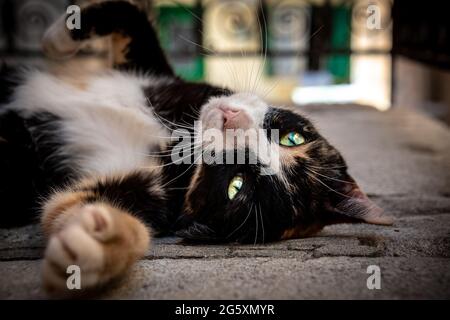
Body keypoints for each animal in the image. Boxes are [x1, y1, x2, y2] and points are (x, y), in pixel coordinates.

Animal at [0, 0, 392, 296]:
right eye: (292, 138)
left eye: (238, 186)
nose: (234, 123)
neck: (174, 133)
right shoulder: (155, 71)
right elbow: (129, 15)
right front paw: (55, 39)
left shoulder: (141, 192)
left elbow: (73, 209)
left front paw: (98, 244)